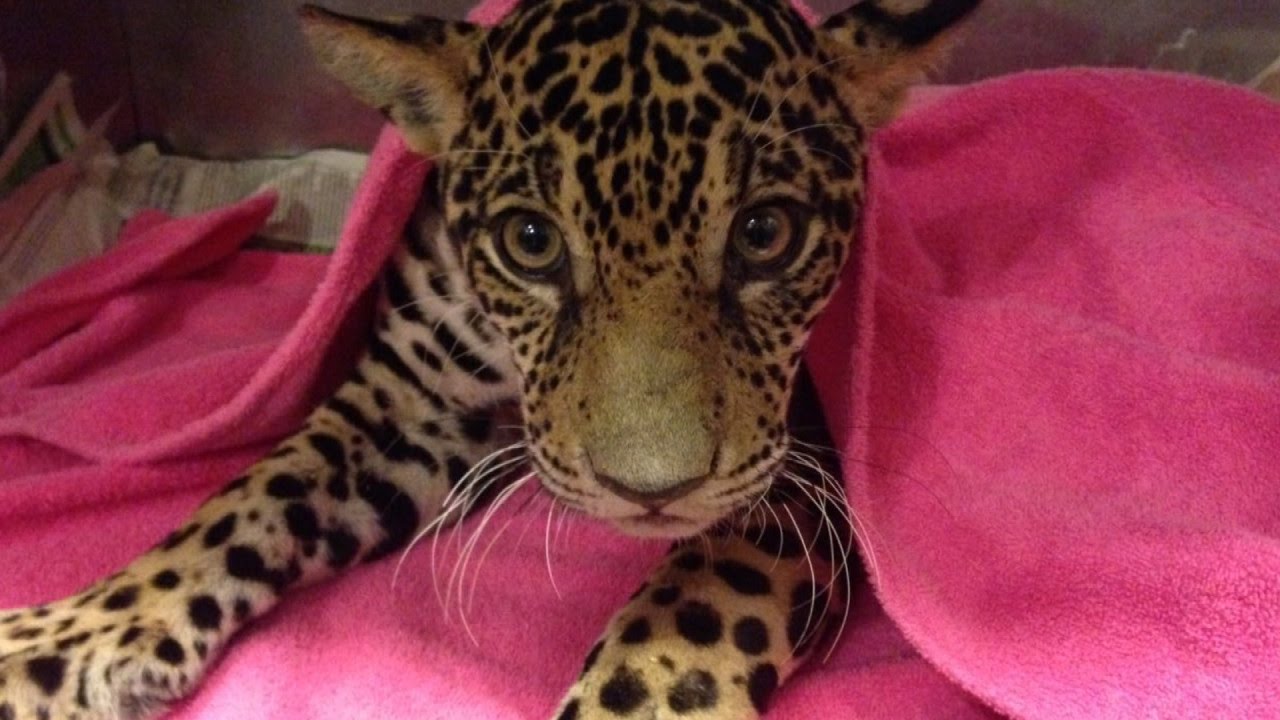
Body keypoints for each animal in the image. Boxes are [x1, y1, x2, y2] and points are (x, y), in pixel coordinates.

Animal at [0, 0, 979, 717]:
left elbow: (689, 601)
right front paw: (65, 643)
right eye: (531, 242)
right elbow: (246, 502)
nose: (652, 493)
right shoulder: (407, 405)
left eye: (766, 233)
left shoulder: (798, 465)